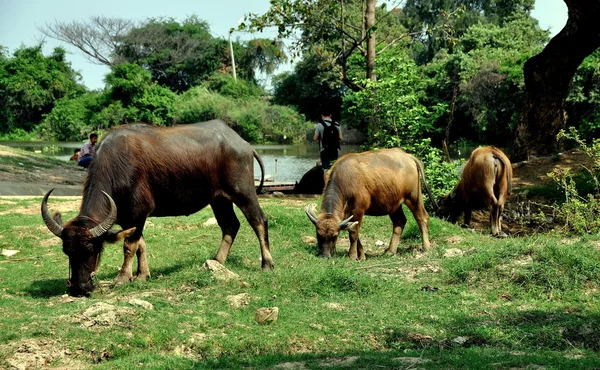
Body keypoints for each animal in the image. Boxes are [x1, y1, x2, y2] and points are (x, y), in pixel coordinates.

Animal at [41, 120, 274, 296]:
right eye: (67, 251)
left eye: (91, 249)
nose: (79, 288)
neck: (117, 165)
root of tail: (244, 144)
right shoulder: (128, 218)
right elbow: (140, 244)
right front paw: (142, 275)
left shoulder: (138, 211)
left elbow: (129, 246)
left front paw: (123, 277)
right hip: (219, 199)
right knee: (230, 225)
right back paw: (217, 262)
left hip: (243, 191)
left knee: (258, 220)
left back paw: (267, 264)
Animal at [304, 148, 436, 260]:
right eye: (318, 234)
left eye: (335, 236)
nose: (325, 256)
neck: (345, 181)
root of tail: (408, 157)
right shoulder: (347, 214)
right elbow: (354, 232)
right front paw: (361, 256)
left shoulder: (359, 209)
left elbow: (353, 233)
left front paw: (352, 256)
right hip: (394, 203)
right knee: (400, 221)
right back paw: (390, 251)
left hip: (413, 197)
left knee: (422, 217)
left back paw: (426, 247)